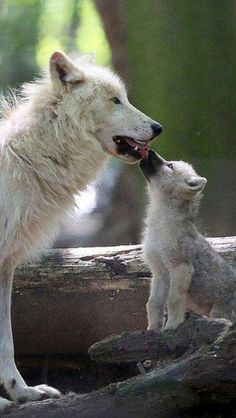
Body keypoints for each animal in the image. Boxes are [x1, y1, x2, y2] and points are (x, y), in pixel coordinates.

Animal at [0, 50, 162, 410]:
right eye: (115, 100)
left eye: (124, 97)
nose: (158, 127)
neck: (28, 157)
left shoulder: (5, 266)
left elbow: (6, 339)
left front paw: (23, 392)